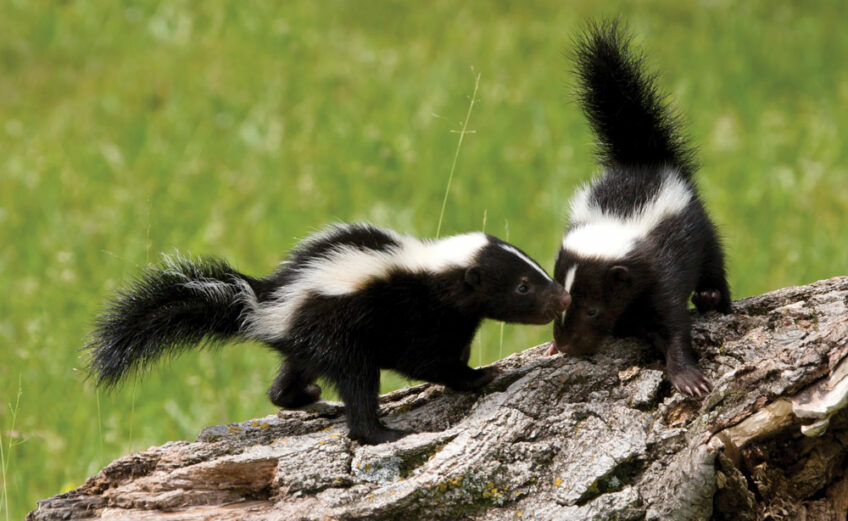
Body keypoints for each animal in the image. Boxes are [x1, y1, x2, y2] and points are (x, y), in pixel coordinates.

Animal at [88, 222, 568, 442]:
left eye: (536, 272)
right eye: (523, 287)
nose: (563, 298)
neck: (433, 271)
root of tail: (266, 305)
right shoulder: (414, 315)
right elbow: (427, 361)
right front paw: (479, 376)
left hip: (308, 342)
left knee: (285, 383)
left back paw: (310, 398)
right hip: (335, 333)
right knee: (357, 383)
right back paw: (381, 432)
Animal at [548, 19, 728, 394]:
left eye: (593, 310)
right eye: (561, 301)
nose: (567, 344)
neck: (617, 221)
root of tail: (644, 158)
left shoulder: (661, 270)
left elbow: (673, 323)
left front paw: (687, 377)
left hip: (699, 227)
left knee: (716, 263)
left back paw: (712, 297)